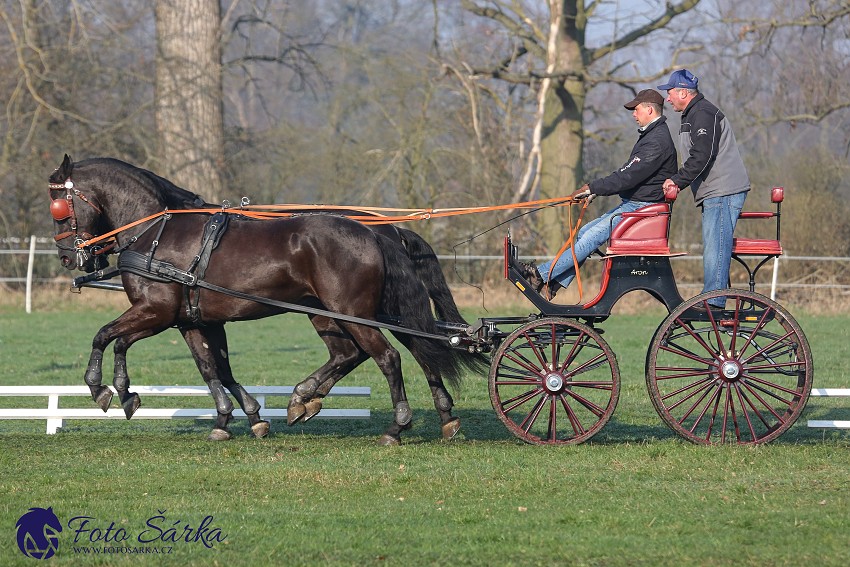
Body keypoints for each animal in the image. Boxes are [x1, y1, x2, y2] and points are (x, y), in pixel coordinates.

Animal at [49, 155, 480, 444]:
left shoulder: (156, 312)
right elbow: (213, 368)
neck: (156, 230)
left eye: (57, 206)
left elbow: (109, 337)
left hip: (353, 313)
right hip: (351, 313)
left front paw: (110, 390)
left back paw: (395, 426)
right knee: (390, 350)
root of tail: (376, 232)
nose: (68, 256)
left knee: (387, 357)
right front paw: (237, 418)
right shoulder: (193, 320)